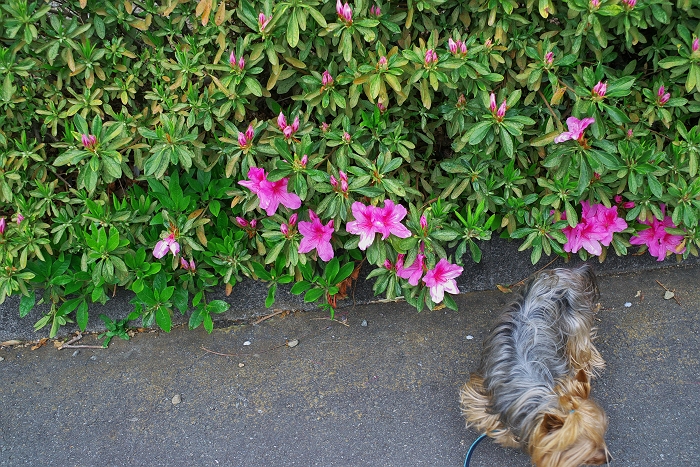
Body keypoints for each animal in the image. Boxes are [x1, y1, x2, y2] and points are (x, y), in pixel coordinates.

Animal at [460, 266, 608, 466]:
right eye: (586, 448)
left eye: (601, 434)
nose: (607, 457)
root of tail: (566, 272)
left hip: (576, 318)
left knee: (580, 346)